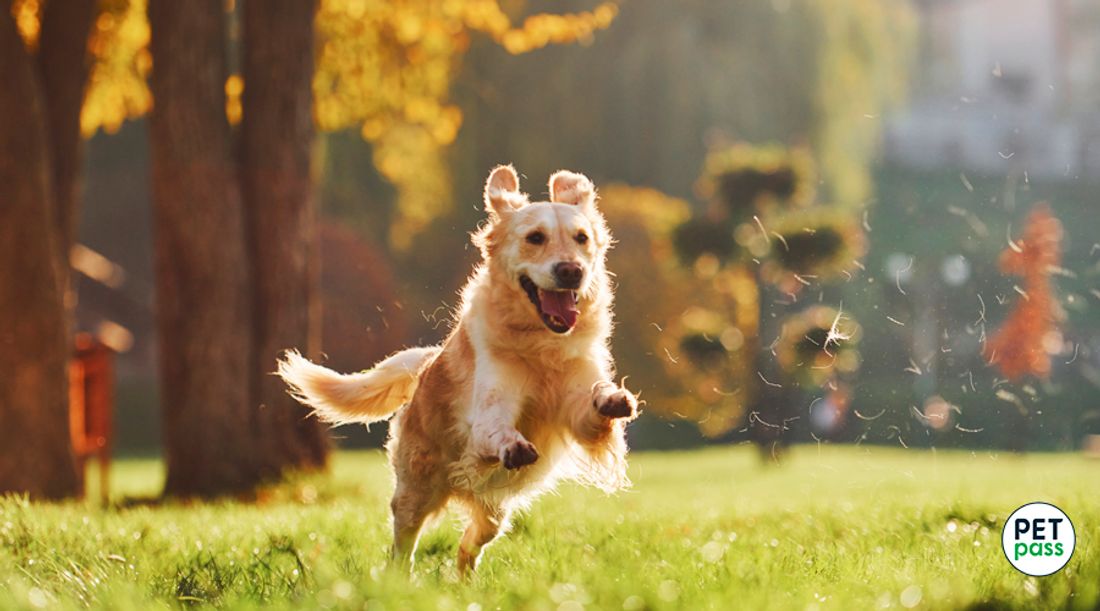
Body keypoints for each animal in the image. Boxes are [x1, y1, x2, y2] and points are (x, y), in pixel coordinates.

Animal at [275, 165, 638, 576]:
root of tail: (424, 364)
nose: (571, 271)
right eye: (535, 237)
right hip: (415, 490)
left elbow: (595, 401)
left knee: (470, 544)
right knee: (403, 544)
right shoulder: (488, 412)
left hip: (495, 513)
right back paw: (401, 579)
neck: (542, 343)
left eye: (581, 238)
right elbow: (496, 429)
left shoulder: (578, 408)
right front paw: (513, 445)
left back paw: (464, 578)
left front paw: (613, 398)